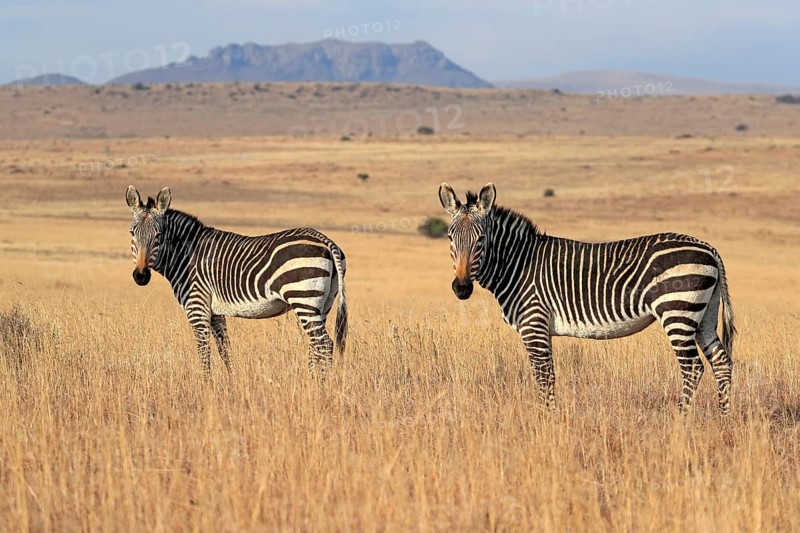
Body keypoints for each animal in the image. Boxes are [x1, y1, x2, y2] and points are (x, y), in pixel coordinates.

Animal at [126, 185, 347, 374]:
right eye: (132, 233)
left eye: (159, 235)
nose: (141, 276)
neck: (185, 255)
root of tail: (325, 240)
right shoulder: (215, 313)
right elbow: (225, 350)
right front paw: (230, 384)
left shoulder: (197, 307)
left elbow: (204, 354)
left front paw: (206, 388)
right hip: (323, 304)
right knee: (316, 345)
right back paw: (310, 382)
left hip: (303, 298)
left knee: (324, 344)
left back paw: (321, 387)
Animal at [439, 182, 735, 414]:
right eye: (451, 238)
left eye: (481, 239)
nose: (462, 288)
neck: (517, 263)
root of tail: (709, 248)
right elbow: (547, 376)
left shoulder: (534, 324)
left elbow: (544, 377)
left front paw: (547, 421)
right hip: (704, 314)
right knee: (721, 362)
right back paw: (725, 419)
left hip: (678, 312)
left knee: (693, 367)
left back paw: (679, 420)